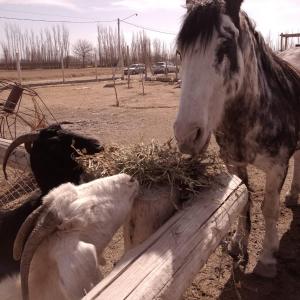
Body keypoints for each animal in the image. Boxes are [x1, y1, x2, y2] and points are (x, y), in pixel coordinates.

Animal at [173, 0, 300, 278]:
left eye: (226, 46)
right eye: (179, 52)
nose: (186, 135)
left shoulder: (277, 166)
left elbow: (269, 208)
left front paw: (267, 259)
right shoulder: (234, 164)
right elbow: (243, 202)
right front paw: (237, 244)